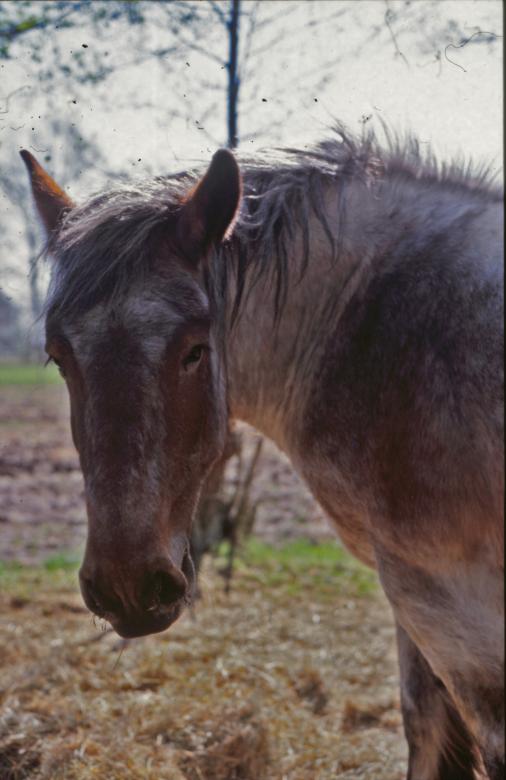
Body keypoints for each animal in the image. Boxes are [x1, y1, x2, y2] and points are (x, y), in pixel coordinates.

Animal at [21, 125, 503, 779]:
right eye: (58, 356)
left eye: (195, 349)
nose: (129, 588)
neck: (369, 320)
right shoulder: (414, 596)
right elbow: (425, 729)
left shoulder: (449, 599)